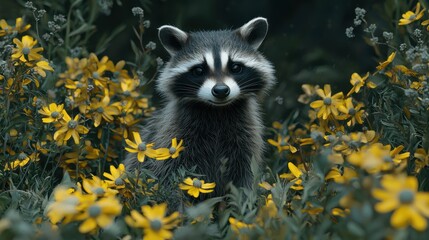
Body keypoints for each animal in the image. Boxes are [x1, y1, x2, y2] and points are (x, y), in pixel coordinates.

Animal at [124, 16, 274, 197]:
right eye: (199, 70)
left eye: (236, 67)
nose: (221, 90)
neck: (218, 111)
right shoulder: (174, 136)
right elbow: (168, 174)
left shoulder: (246, 136)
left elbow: (245, 176)